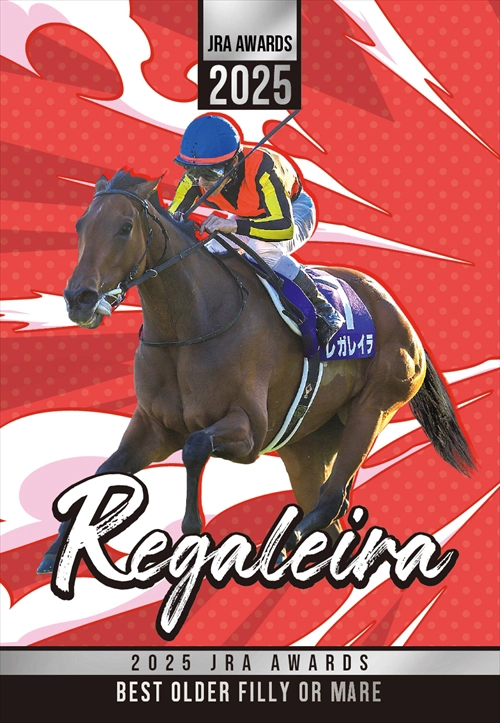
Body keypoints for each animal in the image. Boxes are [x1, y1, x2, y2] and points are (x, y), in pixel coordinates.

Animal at [37, 170, 475, 573]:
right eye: (80, 225)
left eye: (125, 227)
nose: (79, 299)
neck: (190, 325)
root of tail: (392, 305)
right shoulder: (154, 427)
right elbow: (106, 470)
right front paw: (56, 551)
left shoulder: (249, 430)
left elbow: (195, 446)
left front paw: (192, 534)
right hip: (307, 446)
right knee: (328, 512)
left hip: (375, 406)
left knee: (332, 500)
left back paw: (282, 546)